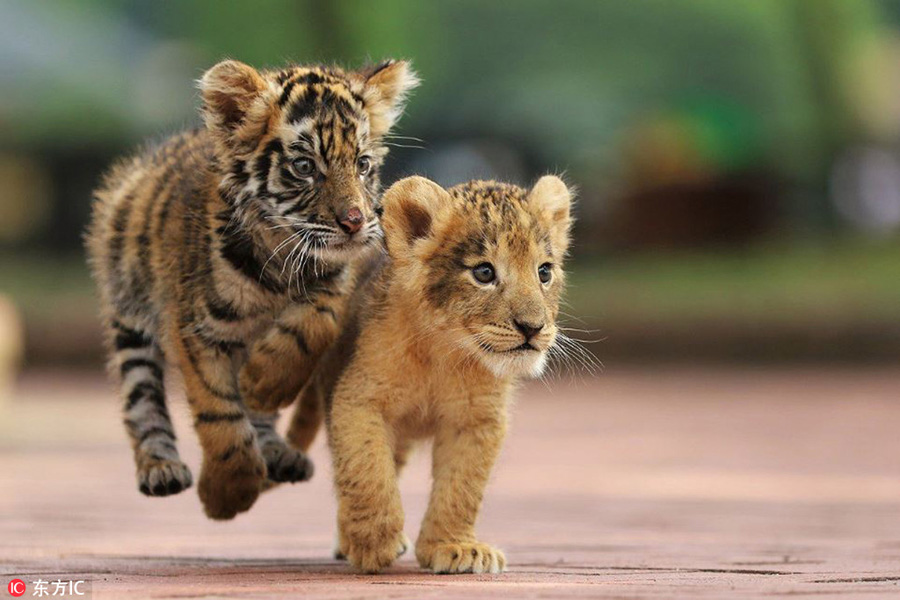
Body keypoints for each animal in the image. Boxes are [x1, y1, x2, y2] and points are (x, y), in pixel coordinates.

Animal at [85, 58, 419, 520]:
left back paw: (275, 442)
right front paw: (228, 492)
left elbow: (315, 324)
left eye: (363, 163)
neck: (280, 261)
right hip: (130, 315)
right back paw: (160, 467)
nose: (354, 221)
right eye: (305, 167)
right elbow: (219, 411)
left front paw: (264, 382)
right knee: (142, 397)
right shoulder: (194, 328)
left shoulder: (333, 283)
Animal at [285, 175, 573, 572]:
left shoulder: (477, 420)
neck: (445, 353)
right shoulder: (357, 398)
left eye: (544, 271)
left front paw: (456, 547)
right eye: (484, 273)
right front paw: (375, 539)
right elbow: (366, 469)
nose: (533, 328)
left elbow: (462, 487)